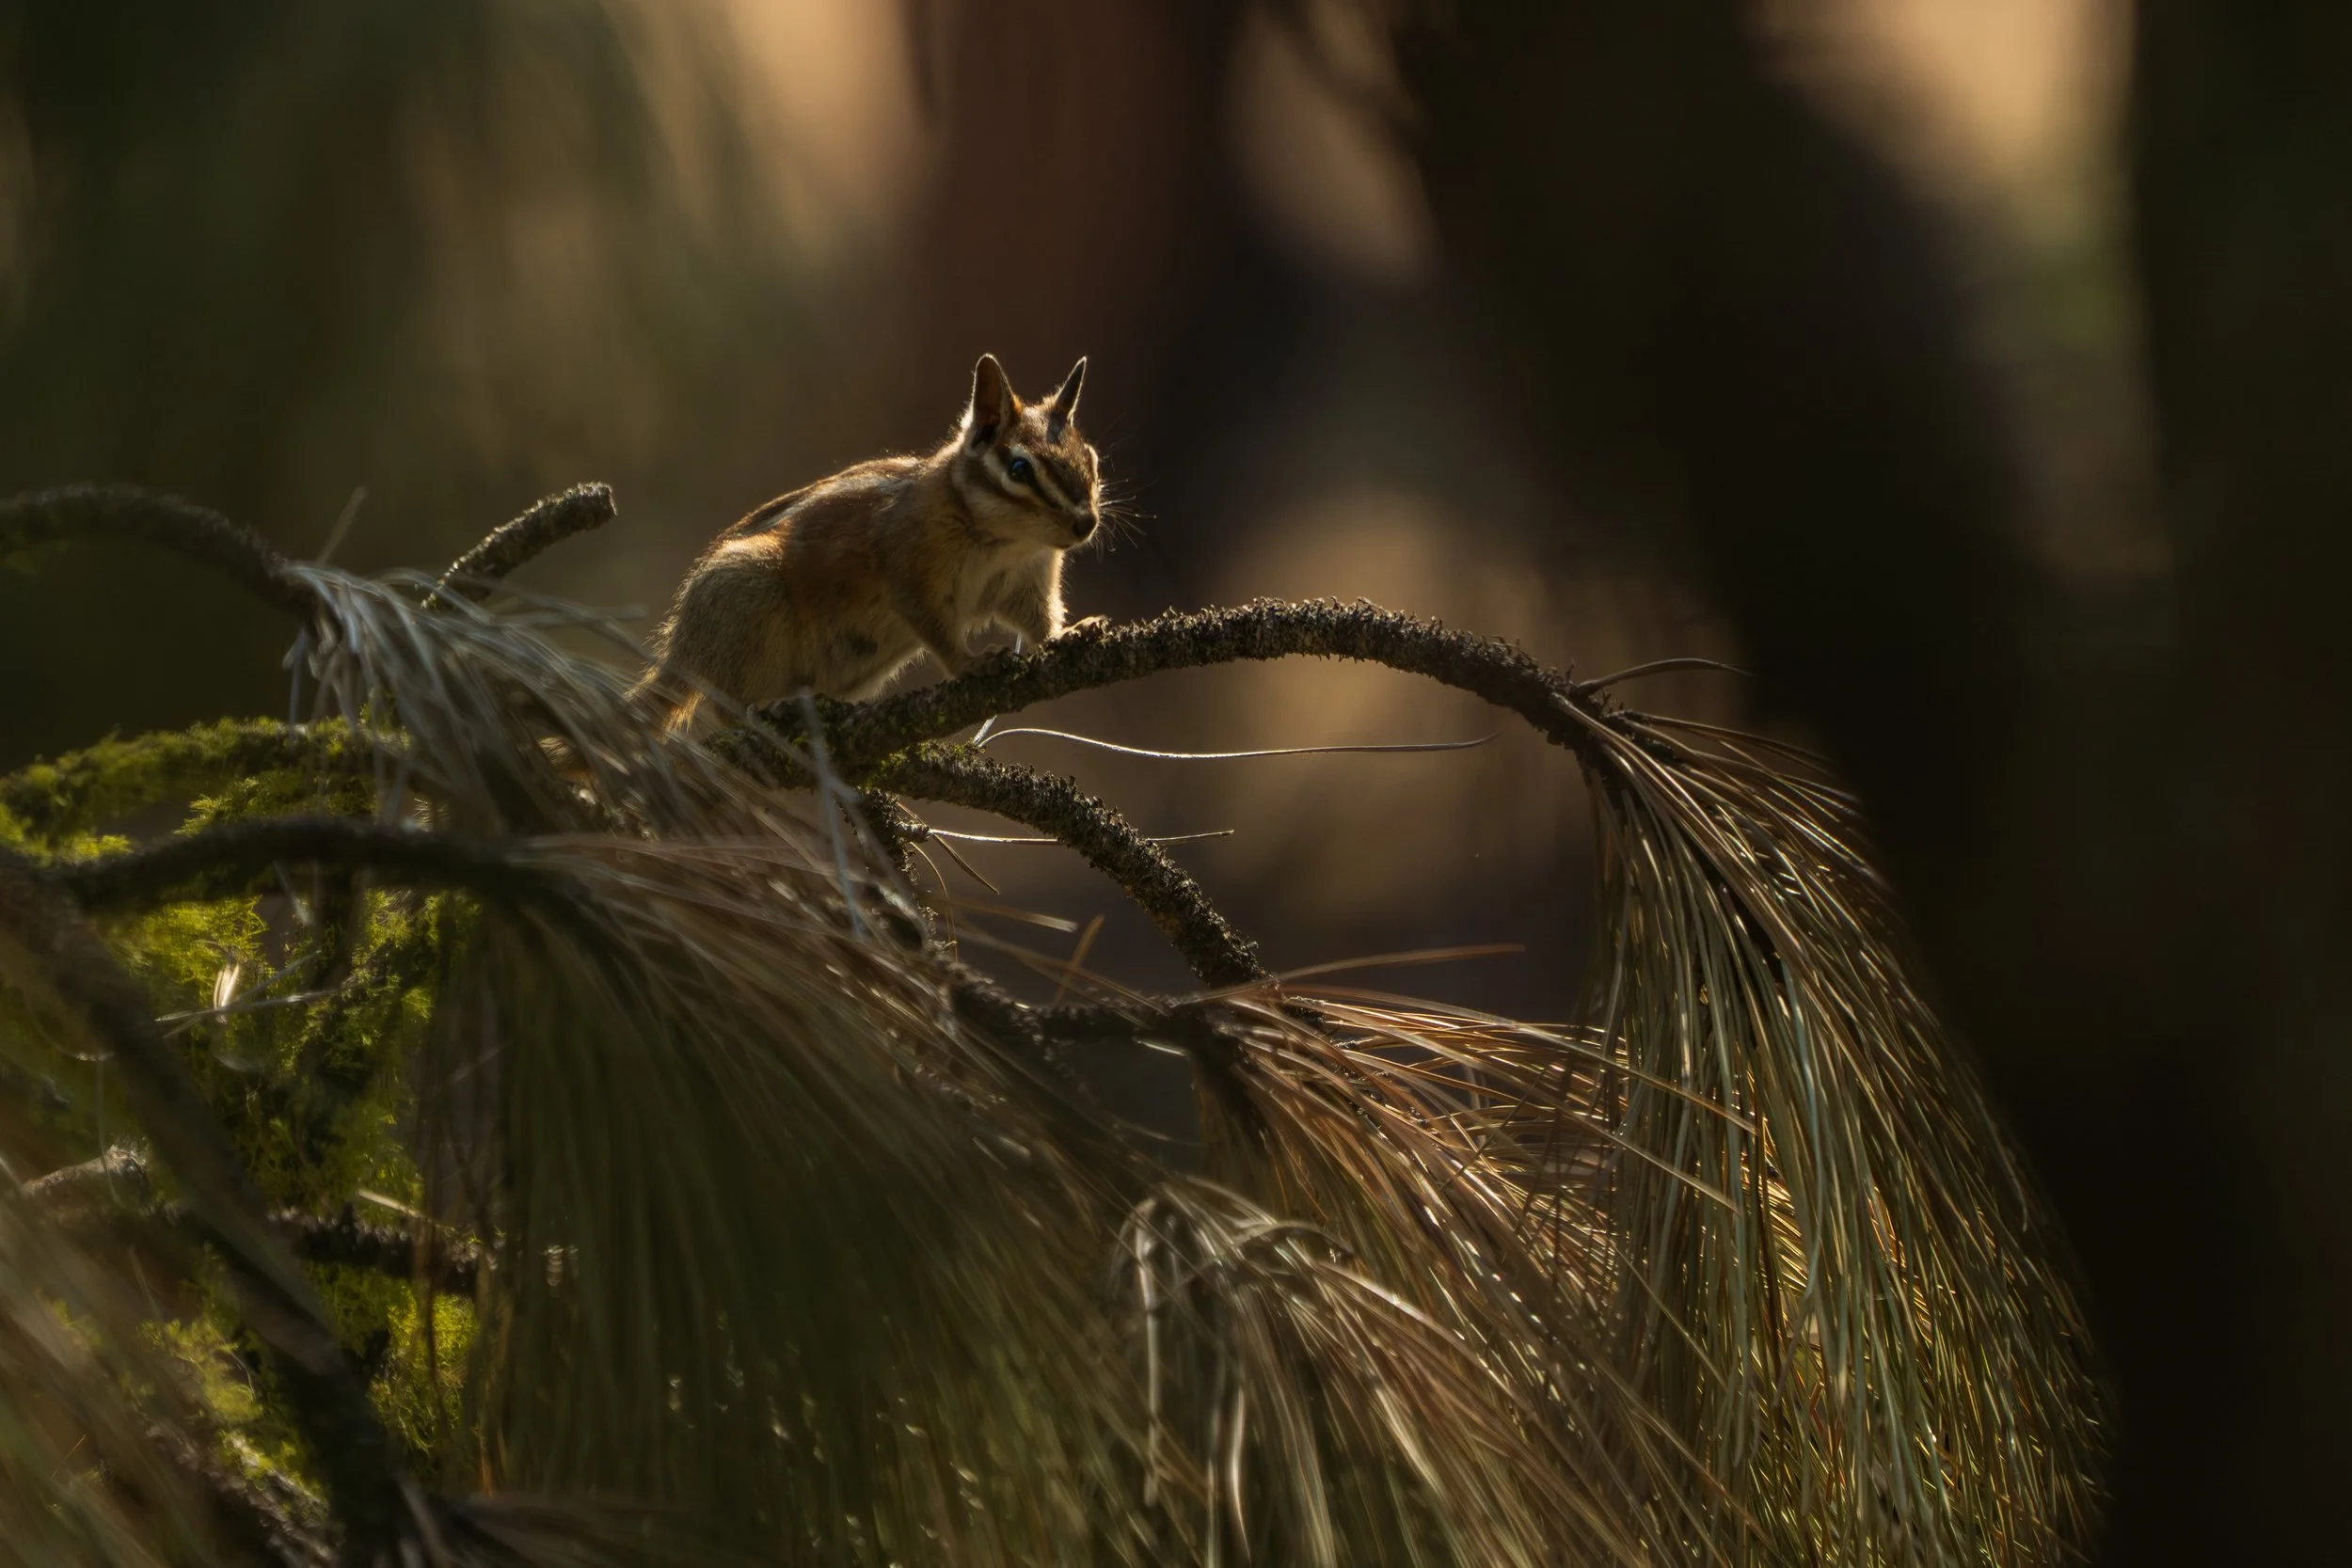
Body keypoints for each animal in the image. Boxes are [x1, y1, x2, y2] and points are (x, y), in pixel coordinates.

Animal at [638, 353, 1105, 728]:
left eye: (1092, 458)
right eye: (1019, 470)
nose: (1086, 523)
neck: (1005, 540)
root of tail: (681, 648)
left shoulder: (1027, 579)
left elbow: (1038, 619)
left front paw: (1070, 632)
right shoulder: (910, 571)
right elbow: (936, 629)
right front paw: (972, 663)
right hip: (744, 600)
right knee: (719, 703)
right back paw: (755, 716)